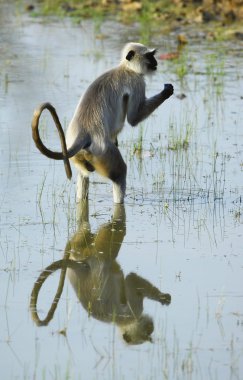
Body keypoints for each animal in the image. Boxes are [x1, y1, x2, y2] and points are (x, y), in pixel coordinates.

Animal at [31, 42, 173, 203]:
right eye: (149, 56)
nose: (155, 62)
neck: (125, 68)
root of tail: (84, 132)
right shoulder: (137, 82)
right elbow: (133, 119)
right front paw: (166, 92)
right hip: (102, 151)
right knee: (119, 173)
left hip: (80, 156)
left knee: (83, 177)